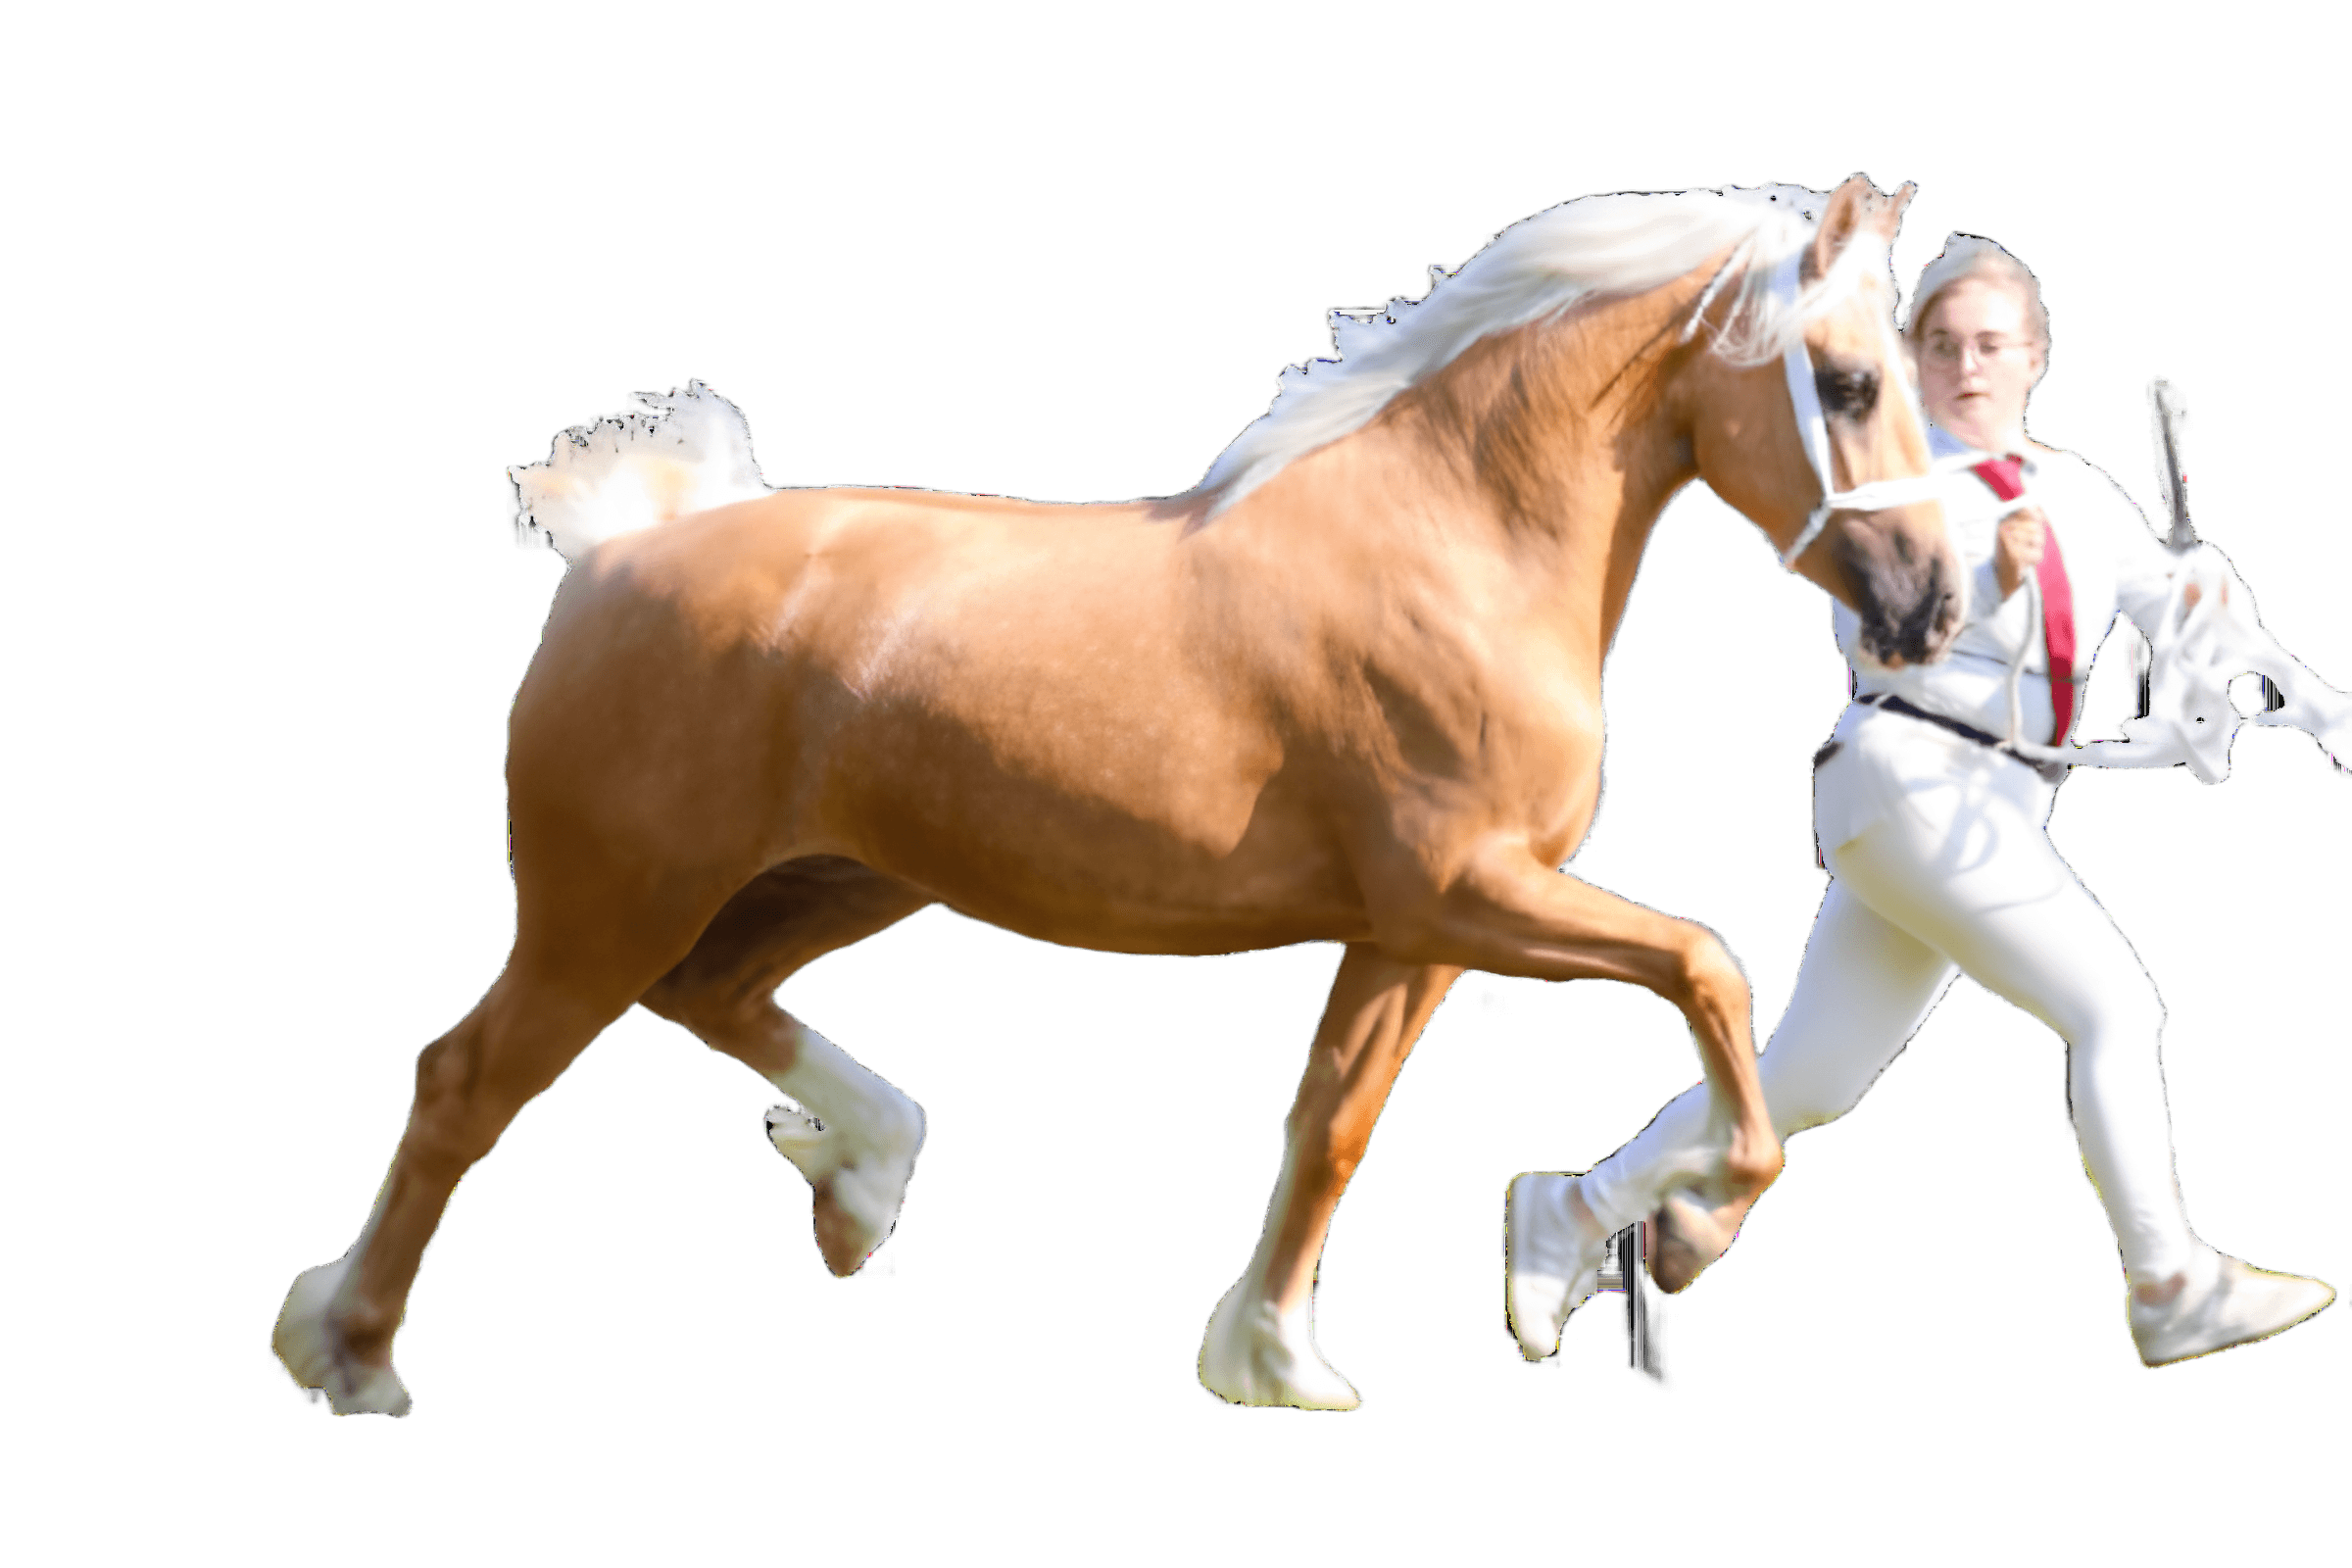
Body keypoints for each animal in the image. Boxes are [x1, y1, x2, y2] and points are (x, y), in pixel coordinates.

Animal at [272, 173, 1958, 1416]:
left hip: (837, 881)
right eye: (1848, 380)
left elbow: (1330, 1125)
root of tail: (623, 551)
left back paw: (859, 1188)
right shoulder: (1468, 893)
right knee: (466, 1083)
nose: (1930, 609)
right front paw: (1671, 1226)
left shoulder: (1407, 932)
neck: (1456, 542)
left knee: (713, 996)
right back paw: (348, 1356)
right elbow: (1708, 967)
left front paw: (1275, 1359)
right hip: (610, 904)